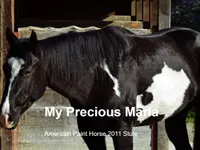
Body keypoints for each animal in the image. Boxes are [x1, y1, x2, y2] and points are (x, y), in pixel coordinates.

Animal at [0, 25, 200, 149]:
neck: (100, 75)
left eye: (27, 71)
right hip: (177, 116)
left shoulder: (122, 130)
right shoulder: (91, 133)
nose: (6, 116)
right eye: (5, 68)